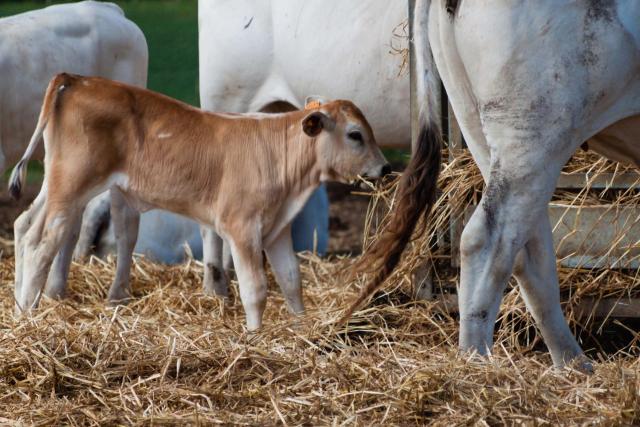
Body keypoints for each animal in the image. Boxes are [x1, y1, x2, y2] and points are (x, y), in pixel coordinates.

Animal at [11, 73, 390, 332]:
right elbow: (256, 289)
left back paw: (17, 302)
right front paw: (255, 337)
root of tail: (79, 79)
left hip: (55, 186)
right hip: (71, 187)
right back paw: (27, 313)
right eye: (355, 134)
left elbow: (291, 280)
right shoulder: (241, 228)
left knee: (24, 226)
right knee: (42, 244)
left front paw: (301, 329)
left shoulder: (277, 228)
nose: (385, 167)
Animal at [348, 0, 640, 370]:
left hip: (479, 124)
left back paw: (574, 367)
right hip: (535, 126)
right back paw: (476, 363)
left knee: (527, 250)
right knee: (486, 240)